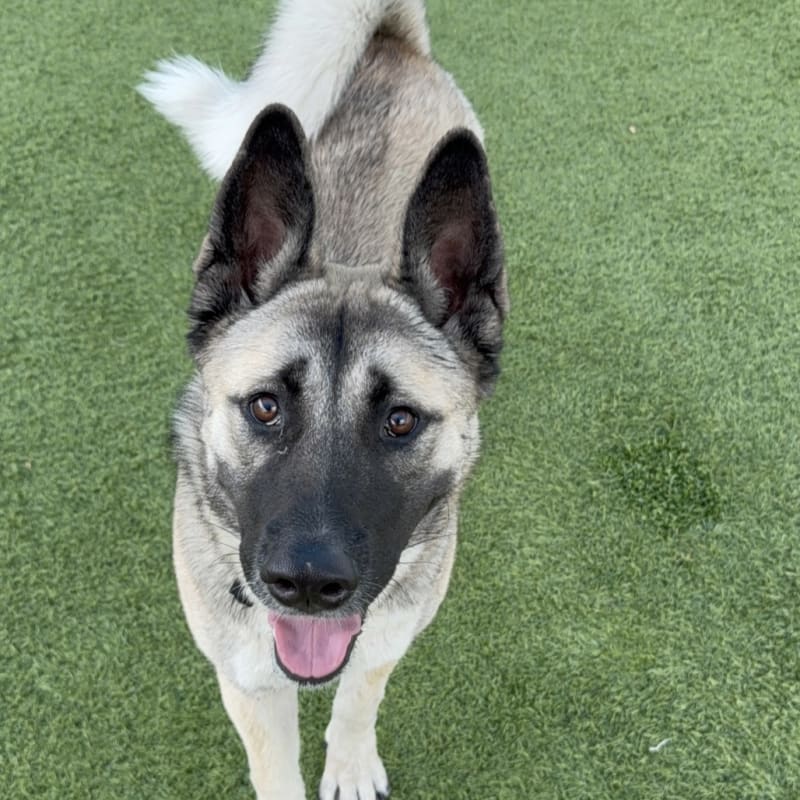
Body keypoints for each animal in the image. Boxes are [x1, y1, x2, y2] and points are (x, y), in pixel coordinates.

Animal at [138, 1, 507, 797]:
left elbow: (359, 697)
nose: (308, 585)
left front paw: (352, 763)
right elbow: (276, 769)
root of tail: (388, 40)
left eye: (401, 421)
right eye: (265, 406)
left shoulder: (386, 642)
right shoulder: (247, 685)